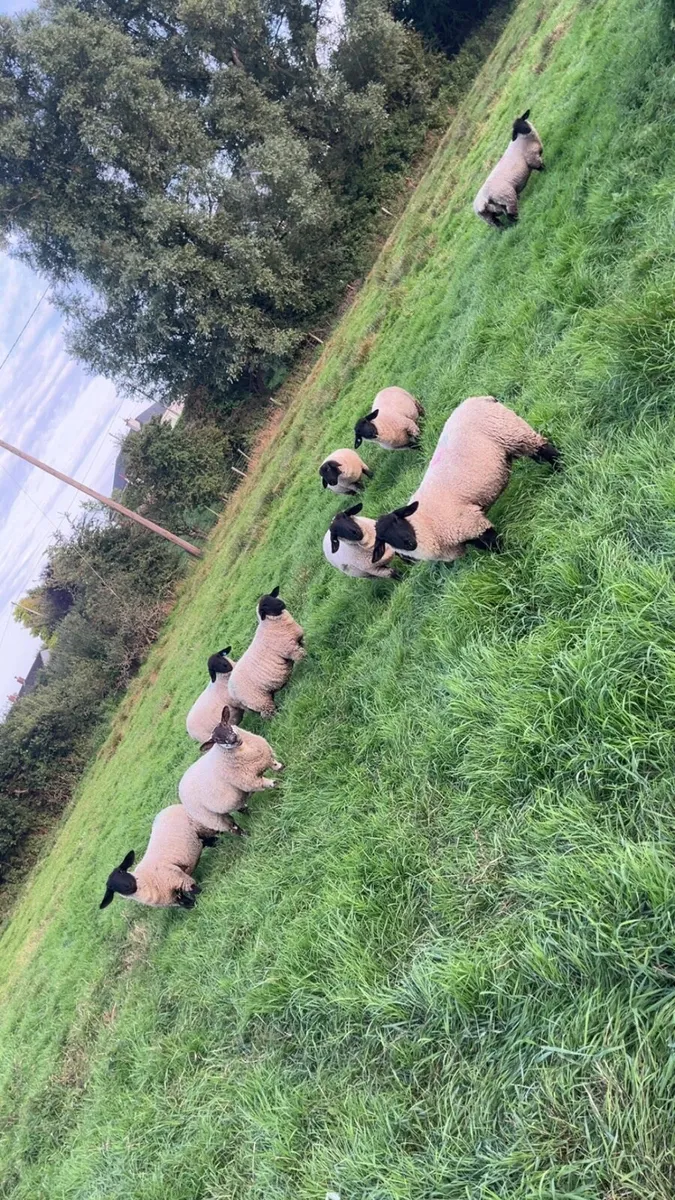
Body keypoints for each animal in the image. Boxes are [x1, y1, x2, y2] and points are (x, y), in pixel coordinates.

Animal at [179, 705, 284, 834]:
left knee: (240, 808)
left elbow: (278, 767)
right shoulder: (251, 782)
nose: (233, 738)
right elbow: (274, 783)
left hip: (230, 803)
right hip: (213, 818)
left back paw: (250, 814)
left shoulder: (268, 759)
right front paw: (283, 788)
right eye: (217, 740)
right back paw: (245, 835)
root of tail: (180, 788)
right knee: (233, 828)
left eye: (225, 724)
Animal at [227, 587, 306, 718]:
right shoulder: (291, 649)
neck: (269, 625)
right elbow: (304, 658)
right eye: (265, 606)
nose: (281, 604)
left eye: (272, 596)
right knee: (267, 713)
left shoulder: (299, 641)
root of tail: (231, 693)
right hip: (258, 699)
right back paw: (278, 717)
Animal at [372, 395, 561, 565]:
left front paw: (510, 557)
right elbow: (485, 546)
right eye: (384, 539)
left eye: (398, 520)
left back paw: (560, 469)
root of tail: (480, 398)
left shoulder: (468, 522)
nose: (409, 543)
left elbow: (493, 542)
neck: (425, 522)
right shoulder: (464, 534)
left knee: (543, 448)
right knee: (535, 452)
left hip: (512, 431)